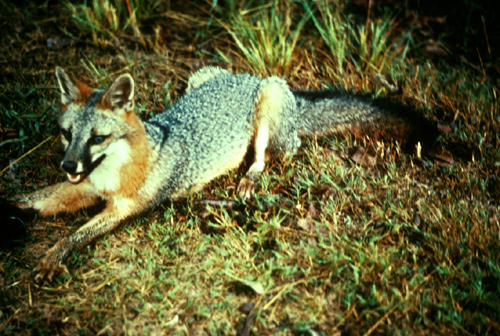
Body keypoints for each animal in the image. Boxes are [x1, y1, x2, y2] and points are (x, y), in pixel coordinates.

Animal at [5, 65, 438, 280]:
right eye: (67, 135)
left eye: (97, 138)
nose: (68, 164)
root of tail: (249, 76)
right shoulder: (86, 188)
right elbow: (41, 197)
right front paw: (12, 205)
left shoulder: (124, 207)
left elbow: (77, 234)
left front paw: (52, 256)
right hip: (199, 77)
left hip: (267, 109)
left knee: (268, 157)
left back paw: (247, 180)